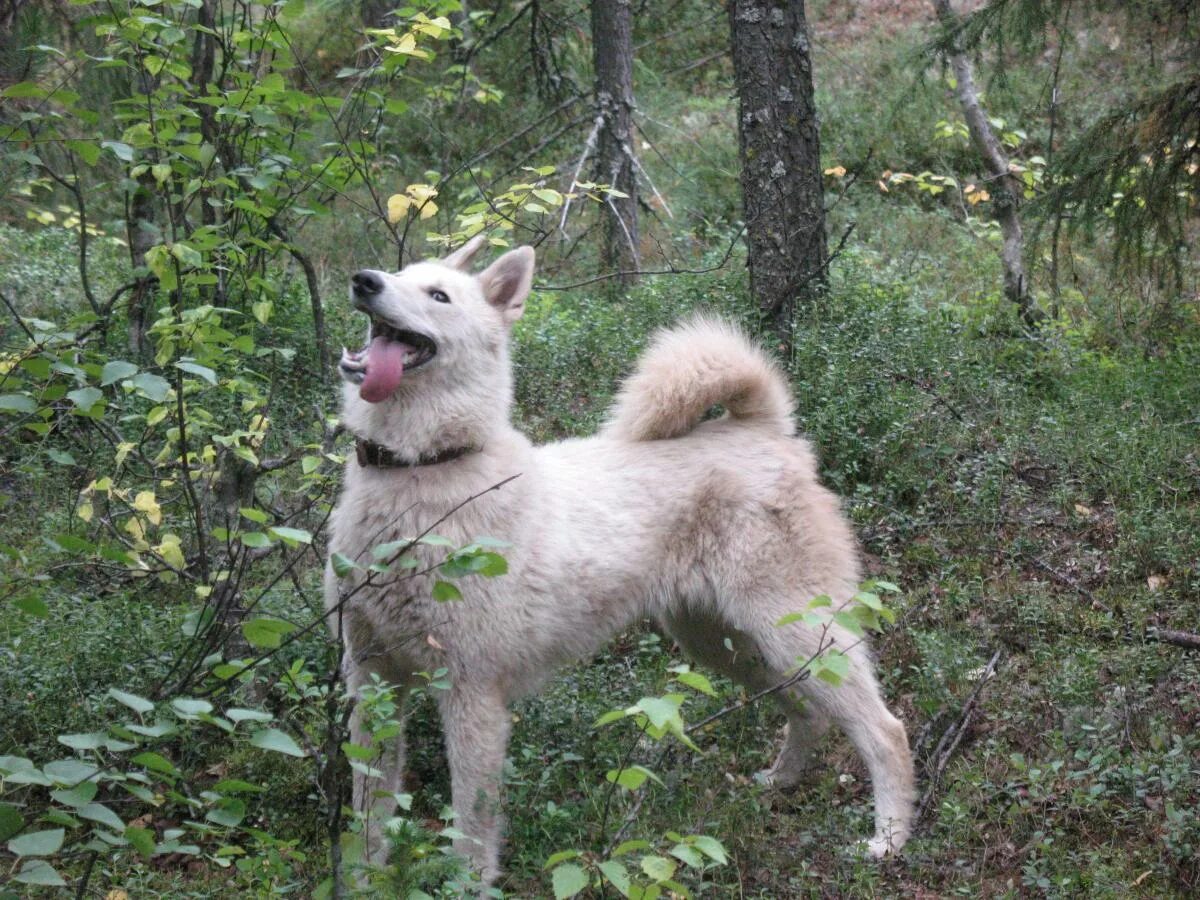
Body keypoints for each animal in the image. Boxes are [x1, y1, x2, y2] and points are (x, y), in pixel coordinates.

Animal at [324, 236, 912, 883]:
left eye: (438, 295)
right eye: (397, 272)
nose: (365, 280)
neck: (425, 470)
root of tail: (766, 430)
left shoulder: (472, 692)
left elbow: (471, 832)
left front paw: (464, 889)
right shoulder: (371, 680)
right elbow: (367, 811)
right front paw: (361, 882)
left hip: (797, 633)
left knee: (885, 731)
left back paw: (889, 840)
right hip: (725, 643)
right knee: (807, 712)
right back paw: (779, 781)